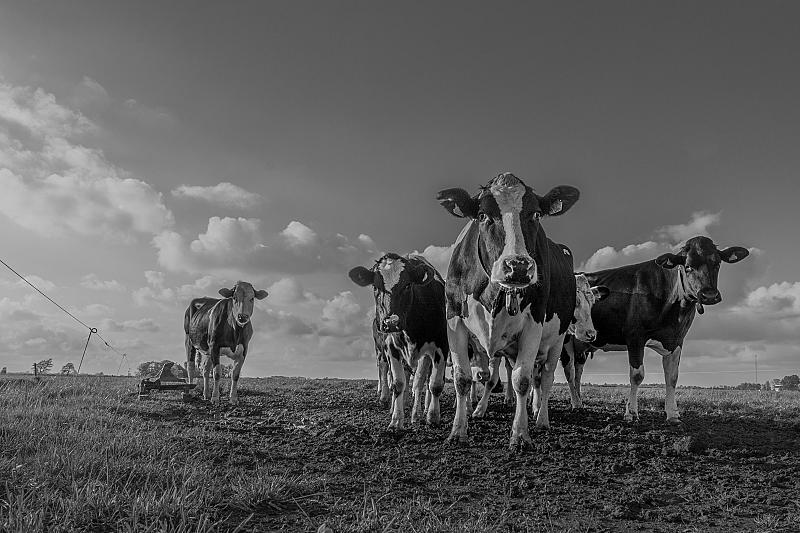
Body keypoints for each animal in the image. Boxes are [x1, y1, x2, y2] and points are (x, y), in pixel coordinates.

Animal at [349, 253, 450, 429]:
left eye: (408, 285)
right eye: (375, 287)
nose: (391, 322)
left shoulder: (441, 345)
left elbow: (434, 384)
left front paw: (431, 417)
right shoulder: (391, 348)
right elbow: (397, 383)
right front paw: (396, 421)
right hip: (380, 350)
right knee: (384, 370)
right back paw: (385, 399)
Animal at [437, 172, 580, 450]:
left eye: (536, 214)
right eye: (482, 215)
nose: (519, 267)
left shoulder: (534, 324)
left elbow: (522, 380)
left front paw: (520, 435)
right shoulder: (454, 321)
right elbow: (463, 378)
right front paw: (458, 431)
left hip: (557, 340)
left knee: (545, 377)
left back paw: (541, 419)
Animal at [582, 236, 749, 423]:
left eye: (717, 263)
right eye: (688, 266)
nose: (709, 295)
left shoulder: (676, 340)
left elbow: (672, 377)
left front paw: (672, 414)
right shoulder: (635, 337)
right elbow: (637, 375)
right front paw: (631, 412)